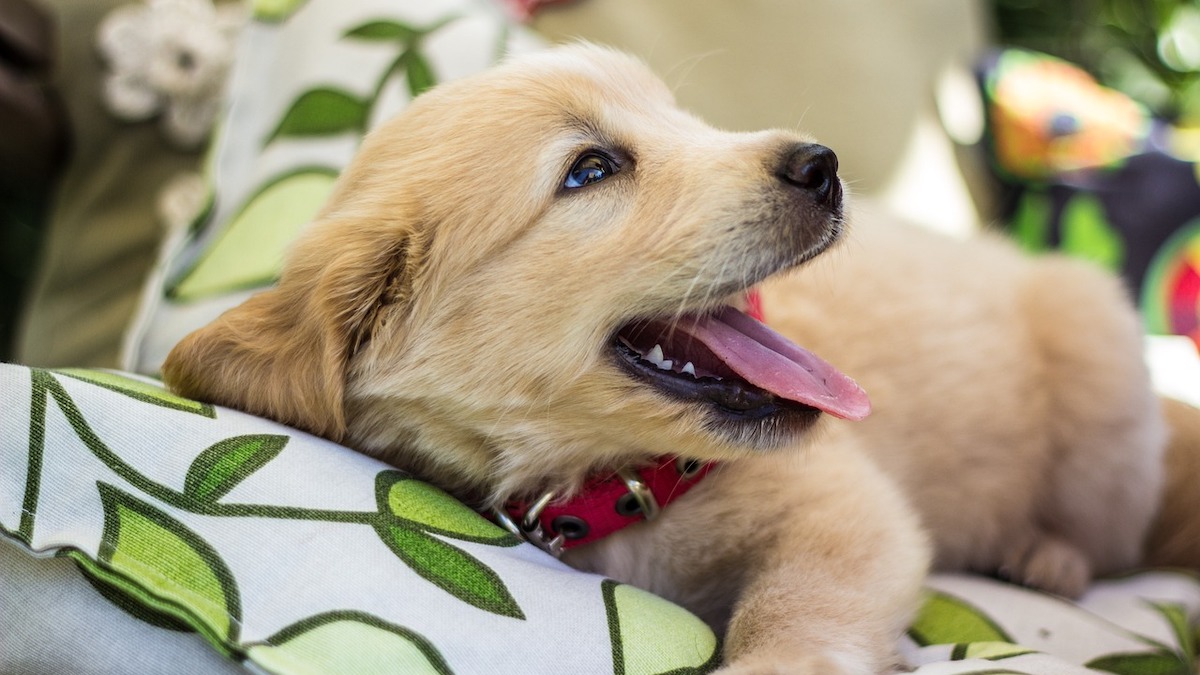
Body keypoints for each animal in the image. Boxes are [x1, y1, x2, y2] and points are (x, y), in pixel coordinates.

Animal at [164, 44, 1166, 667]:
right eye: (591, 170)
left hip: (1103, 387)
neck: (622, 486)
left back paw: (1047, 556)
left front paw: (781, 664)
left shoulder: (846, 505)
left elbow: (800, 597)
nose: (824, 165)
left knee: (1112, 533)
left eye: (681, 116)